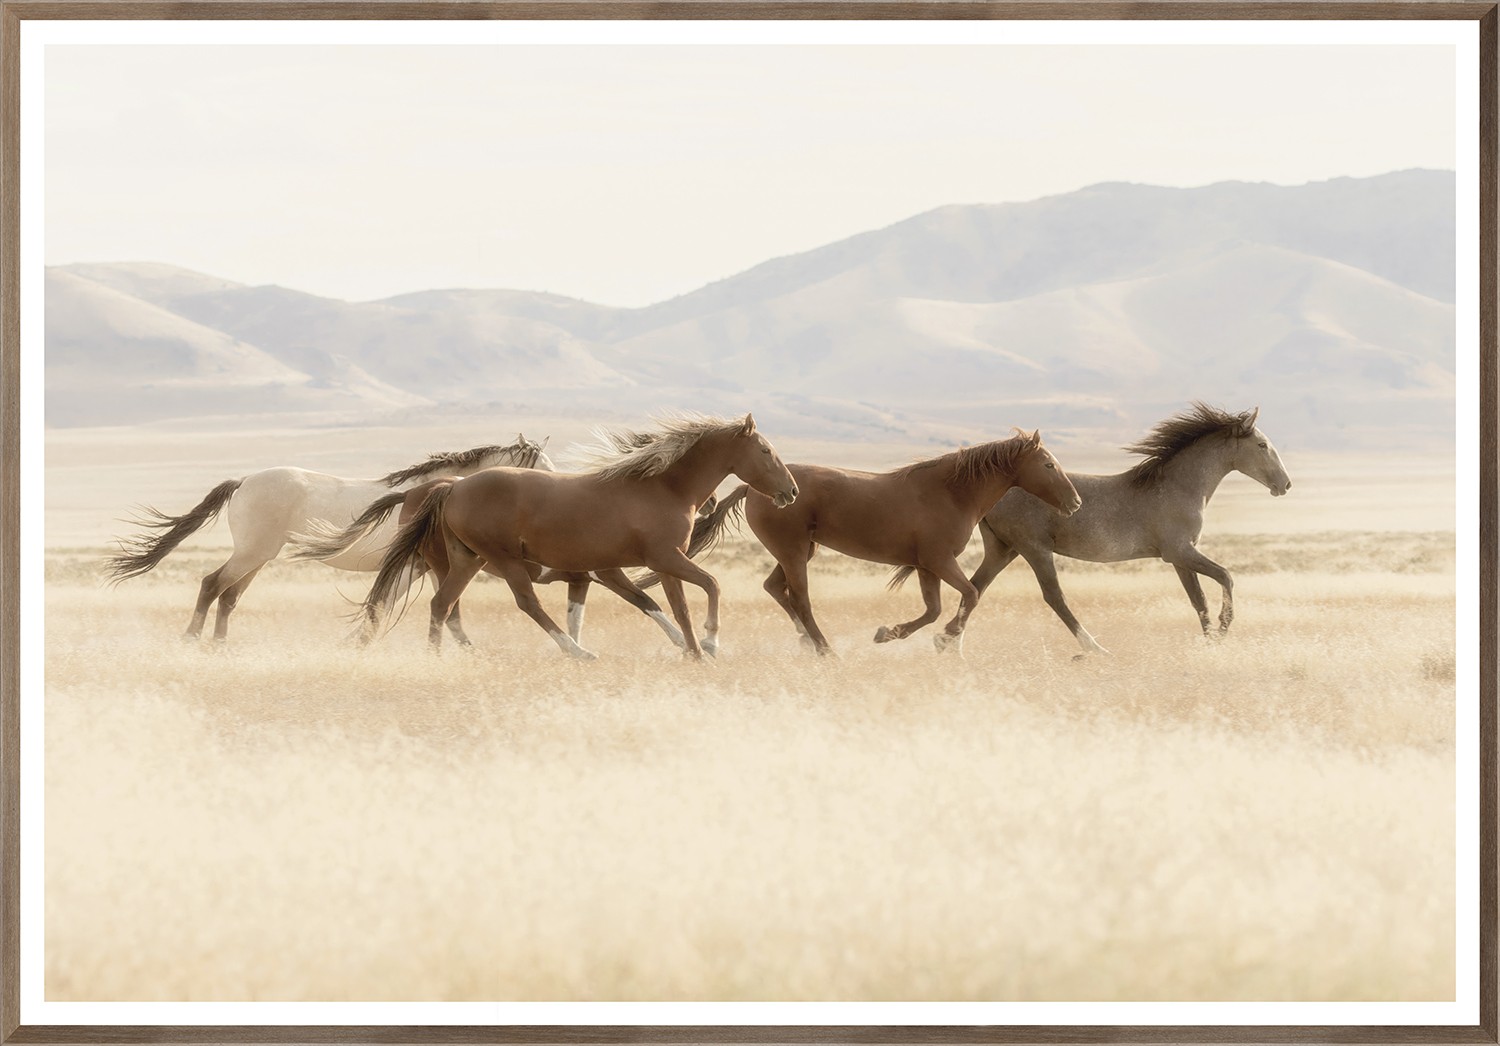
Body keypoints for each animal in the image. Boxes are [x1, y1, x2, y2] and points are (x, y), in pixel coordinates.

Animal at [105, 436, 553, 641]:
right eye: (542, 467)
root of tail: (244, 480)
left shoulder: (421, 567)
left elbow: (408, 606)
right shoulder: (414, 566)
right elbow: (388, 606)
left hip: (259, 557)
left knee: (229, 595)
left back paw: (218, 646)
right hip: (252, 553)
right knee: (212, 584)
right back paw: (193, 640)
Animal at [288, 475, 695, 651]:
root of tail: (421, 491)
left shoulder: (582, 579)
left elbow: (576, 616)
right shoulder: (607, 573)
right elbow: (645, 601)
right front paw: (685, 644)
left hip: (435, 567)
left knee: (430, 606)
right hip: (439, 566)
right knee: (436, 606)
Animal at [359, 413, 798, 659]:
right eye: (765, 450)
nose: (791, 492)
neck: (663, 487)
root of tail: (453, 487)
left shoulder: (655, 565)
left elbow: (672, 607)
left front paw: (692, 652)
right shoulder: (664, 559)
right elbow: (710, 586)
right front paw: (709, 645)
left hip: (468, 559)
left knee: (442, 605)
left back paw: (436, 659)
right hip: (501, 559)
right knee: (526, 604)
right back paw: (577, 652)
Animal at [671, 429, 1081, 656]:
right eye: (1048, 465)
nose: (1075, 502)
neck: (950, 493)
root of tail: (757, 489)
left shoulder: (926, 566)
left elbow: (933, 609)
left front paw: (889, 634)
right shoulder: (940, 560)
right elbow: (971, 595)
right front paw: (943, 638)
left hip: (800, 550)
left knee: (775, 588)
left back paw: (806, 641)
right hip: (794, 552)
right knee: (800, 599)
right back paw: (824, 650)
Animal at [891, 403, 1291, 654]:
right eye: (1262, 445)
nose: (1285, 485)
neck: (1179, 486)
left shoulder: (1179, 558)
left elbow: (1199, 600)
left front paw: (1209, 641)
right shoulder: (1180, 551)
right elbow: (1226, 577)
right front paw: (1222, 631)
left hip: (1004, 549)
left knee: (975, 588)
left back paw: (947, 643)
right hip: (1034, 548)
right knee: (1054, 597)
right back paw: (1094, 648)